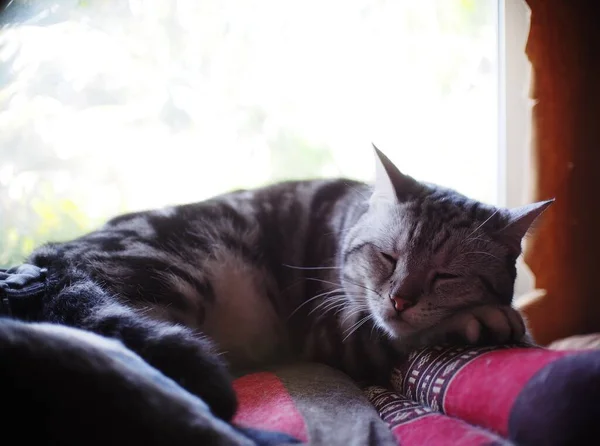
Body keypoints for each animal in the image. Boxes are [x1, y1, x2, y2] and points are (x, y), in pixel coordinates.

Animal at [23, 147, 552, 422]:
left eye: (446, 275)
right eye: (388, 256)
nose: (400, 299)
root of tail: (49, 258)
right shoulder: (332, 327)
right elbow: (405, 334)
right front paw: (485, 318)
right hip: (177, 273)